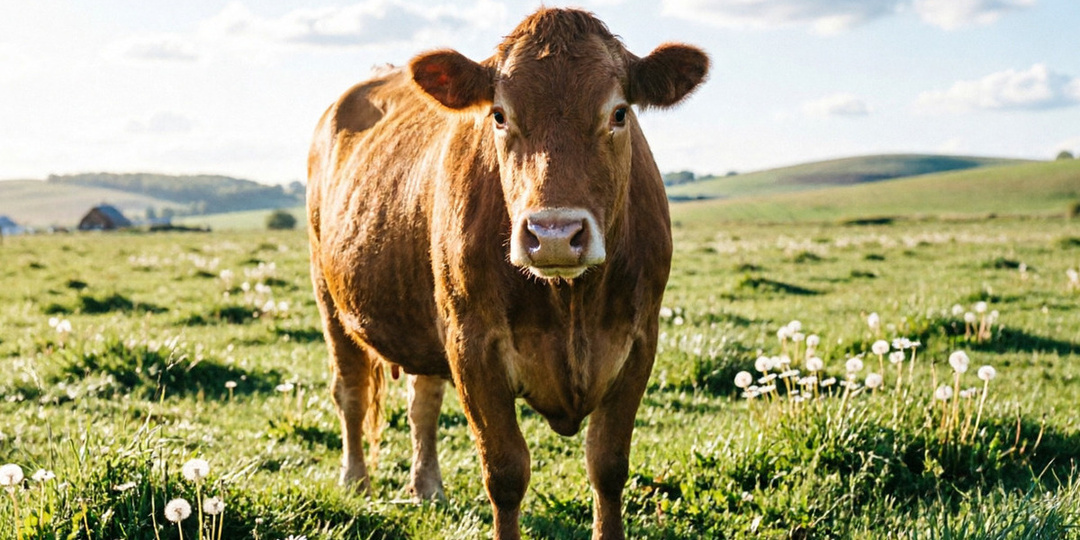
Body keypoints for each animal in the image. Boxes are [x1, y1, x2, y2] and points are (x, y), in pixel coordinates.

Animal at [307, 8, 708, 539]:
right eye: (499, 114)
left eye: (619, 113)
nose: (554, 233)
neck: (570, 300)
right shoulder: (472, 345)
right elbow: (505, 471)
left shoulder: (640, 340)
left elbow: (607, 465)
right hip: (331, 299)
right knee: (350, 391)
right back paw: (355, 481)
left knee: (422, 401)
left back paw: (427, 487)